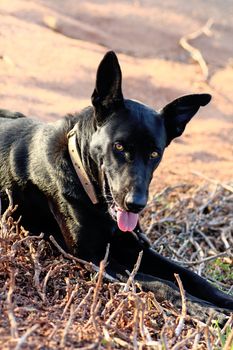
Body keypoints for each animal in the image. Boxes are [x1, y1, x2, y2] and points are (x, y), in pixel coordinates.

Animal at [0, 51, 232, 312]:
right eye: (119, 146)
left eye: (155, 153)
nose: (136, 204)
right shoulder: (94, 257)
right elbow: (163, 283)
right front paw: (202, 308)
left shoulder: (133, 245)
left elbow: (189, 276)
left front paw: (223, 300)